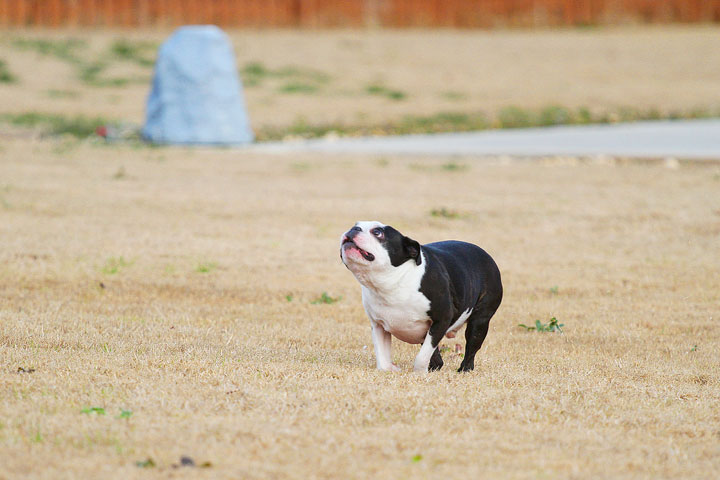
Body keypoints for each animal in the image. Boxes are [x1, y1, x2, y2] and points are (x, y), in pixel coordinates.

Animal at [342, 219, 500, 374]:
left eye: (377, 232)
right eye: (355, 226)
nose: (354, 229)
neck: (391, 282)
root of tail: (486, 255)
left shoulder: (441, 320)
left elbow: (422, 356)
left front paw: (419, 373)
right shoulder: (378, 326)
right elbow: (382, 354)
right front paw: (388, 369)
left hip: (479, 322)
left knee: (471, 349)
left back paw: (464, 370)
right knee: (437, 359)